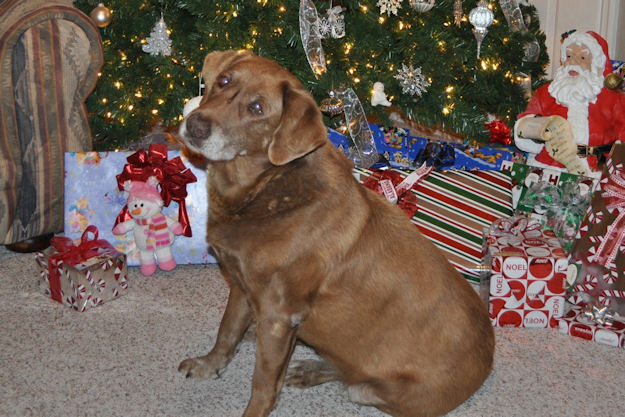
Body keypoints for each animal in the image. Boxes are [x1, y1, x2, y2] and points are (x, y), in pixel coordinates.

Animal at [177, 49, 492, 416]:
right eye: (224, 81)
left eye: (256, 108)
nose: (195, 125)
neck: (264, 190)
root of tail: (487, 362)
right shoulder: (241, 286)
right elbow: (226, 332)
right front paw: (209, 364)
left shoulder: (279, 315)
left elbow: (264, 386)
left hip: (369, 390)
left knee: (351, 378)